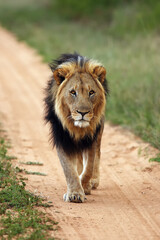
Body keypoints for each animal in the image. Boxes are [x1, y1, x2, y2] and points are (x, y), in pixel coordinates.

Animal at [44, 52, 108, 202]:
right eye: (73, 92)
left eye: (91, 92)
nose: (82, 113)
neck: (78, 129)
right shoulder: (62, 138)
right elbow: (68, 169)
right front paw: (75, 194)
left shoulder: (92, 138)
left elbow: (89, 167)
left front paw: (85, 187)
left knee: (97, 155)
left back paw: (93, 181)